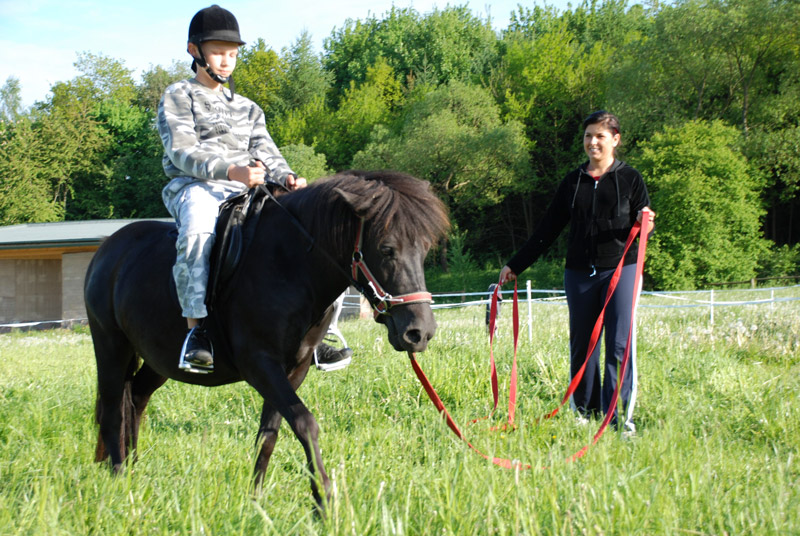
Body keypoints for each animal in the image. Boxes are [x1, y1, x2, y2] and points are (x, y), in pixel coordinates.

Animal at [88, 171, 454, 506]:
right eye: (387, 249)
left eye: (424, 249)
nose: (419, 332)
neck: (288, 266)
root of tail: (107, 250)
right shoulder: (260, 365)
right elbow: (305, 423)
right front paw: (324, 501)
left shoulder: (294, 368)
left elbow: (269, 433)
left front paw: (256, 500)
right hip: (111, 346)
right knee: (113, 410)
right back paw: (119, 479)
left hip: (158, 358)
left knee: (135, 398)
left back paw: (134, 467)